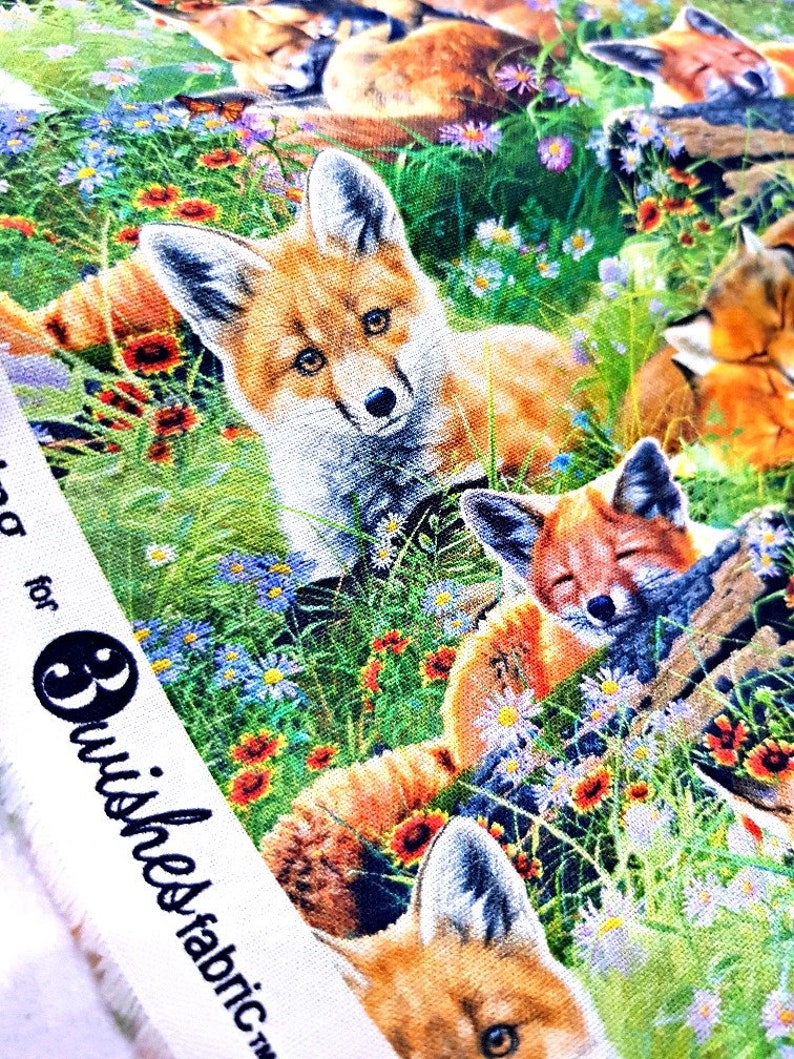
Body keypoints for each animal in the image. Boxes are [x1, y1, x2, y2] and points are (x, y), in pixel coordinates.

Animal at [0, 149, 583, 582]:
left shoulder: (529, 463)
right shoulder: (327, 557)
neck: (376, 494)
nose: (380, 401)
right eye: (308, 360)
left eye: (374, 321)